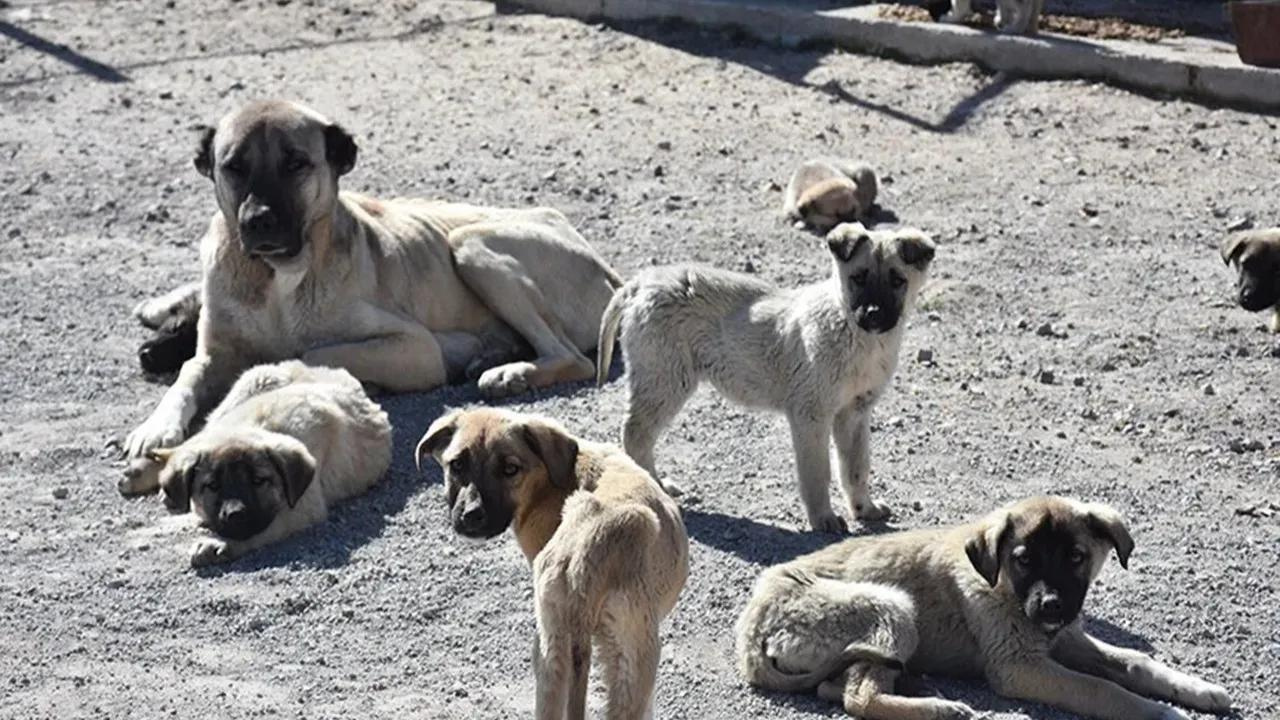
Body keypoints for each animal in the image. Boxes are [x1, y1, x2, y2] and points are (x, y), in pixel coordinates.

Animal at [119, 361, 389, 563]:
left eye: (259, 481)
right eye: (212, 486)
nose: (235, 514)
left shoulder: (303, 507)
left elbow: (261, 529)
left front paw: (218, 544)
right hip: (248, 385)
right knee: (190, 440)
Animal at [122, 98, 622, 458]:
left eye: (296, 163)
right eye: (234, 166)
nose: (258, 221)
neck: (277, 279)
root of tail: (606, 267)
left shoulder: (415, 348)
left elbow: (311, 350)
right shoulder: (212, 354)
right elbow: (187, 376)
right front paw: (155, 425)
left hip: (470, 245)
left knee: (571, 357)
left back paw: (511, 371)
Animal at [417, 407, 691, 717]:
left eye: (510, 469)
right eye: (457, 465)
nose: (471, 516)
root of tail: (584, 558)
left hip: (554, 652)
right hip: (635, 657)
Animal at [593, 221, 936, 530]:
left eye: (897, 280)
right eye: (859, 278)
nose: (873, 315)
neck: (855, 333)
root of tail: (642, 283)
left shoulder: (855, 413)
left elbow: (856, 468)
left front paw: (864, 508)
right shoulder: (811, 415)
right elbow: (817, 472)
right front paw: (823, 518)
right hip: (664, 381)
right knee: (635, 434)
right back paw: (655, 487)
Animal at [737, 491, 1233, 717]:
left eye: (1076, 557)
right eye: (1024, 559)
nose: (1051, 606)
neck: (1005, 591)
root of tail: (749, 633)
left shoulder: (1070, 640)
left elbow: (1134, 662)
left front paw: (1197, 689)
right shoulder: (1018, 667)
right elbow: (1100, 688)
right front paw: (1159, 711)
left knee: (836, 689)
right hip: (890, 605)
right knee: (858, 698)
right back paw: (942, 709)